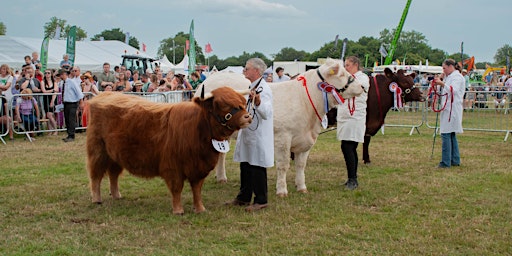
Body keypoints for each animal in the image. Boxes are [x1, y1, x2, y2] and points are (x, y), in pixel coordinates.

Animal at [86, 87, 252, 214]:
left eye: (242, 102)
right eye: (223, 105)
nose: (248, 116)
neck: (197, 128)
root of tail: (102, 96)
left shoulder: (198, 168)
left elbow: (197, 190)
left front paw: (200, 209)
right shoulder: (173, 167)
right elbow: (177, 188)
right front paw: (178, 210)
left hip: (115, 154)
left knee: (113, 174)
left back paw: (116, 195)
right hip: (98, 151)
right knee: (96, 176)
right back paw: (96, 199)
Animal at [196, 59, 364, 197]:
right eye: (342, 74)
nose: (362, 86)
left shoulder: (306, 140)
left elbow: (301, 165)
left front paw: (302, 187)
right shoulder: (283, 137)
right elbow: (283, 166)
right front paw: (282, 190)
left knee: (222, 155)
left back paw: (221, 178)